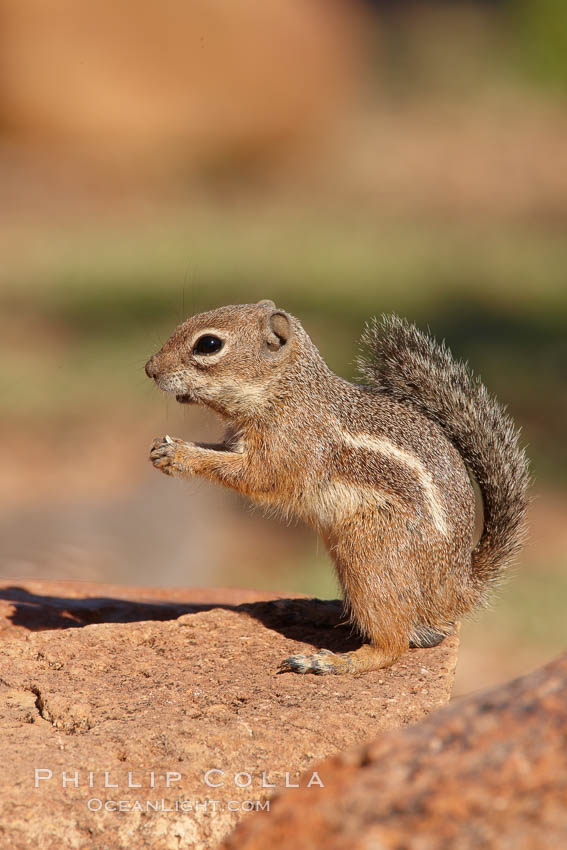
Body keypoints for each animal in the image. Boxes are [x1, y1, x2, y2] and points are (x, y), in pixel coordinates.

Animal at [144, 302, 532, 672]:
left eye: (208, 345)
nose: (150, 368)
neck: (285, 392)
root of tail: (457, 589)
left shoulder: (291, 446)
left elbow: (259, 477)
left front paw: (180, 454)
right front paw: (170, 448)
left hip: (370, 553)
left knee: (393, 643)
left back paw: (334, 662)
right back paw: (310, 610)